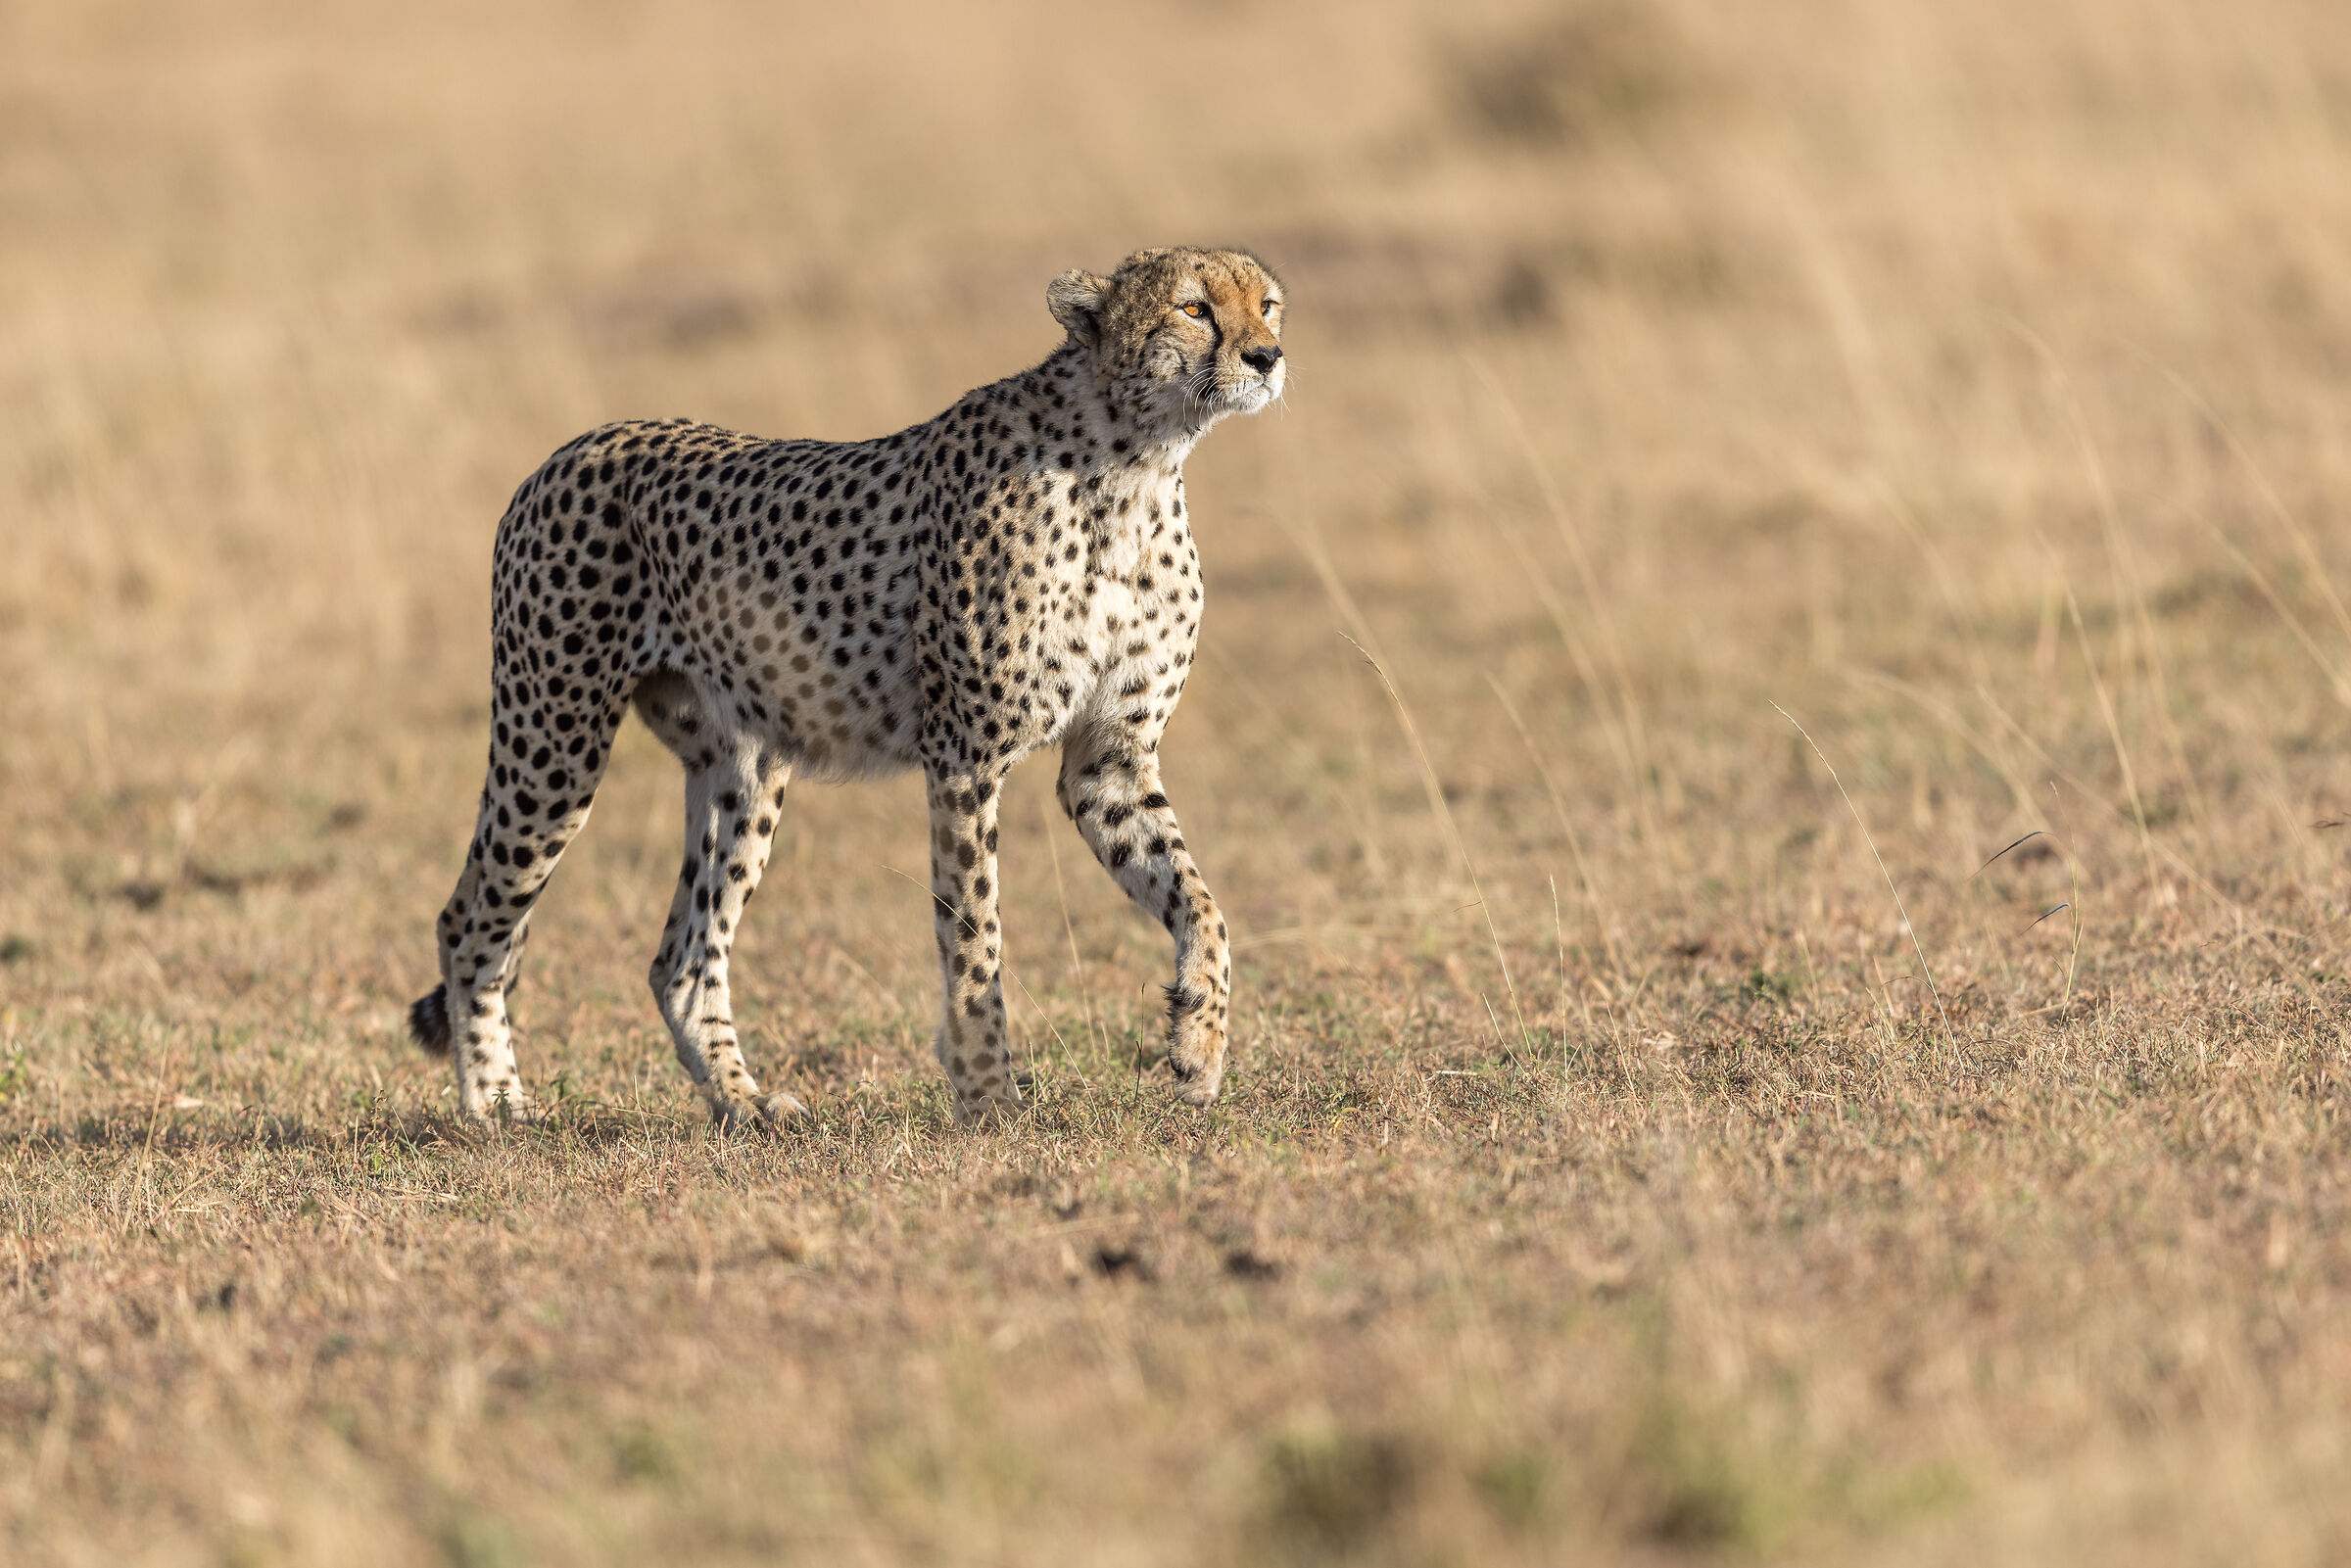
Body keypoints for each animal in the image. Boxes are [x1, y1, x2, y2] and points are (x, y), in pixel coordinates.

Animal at [406, 244, 1287, 1131]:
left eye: (1269, 305)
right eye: (1194, 309)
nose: (1267, 357)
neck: (1138, 463)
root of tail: (572, 448)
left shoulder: (1109, 762)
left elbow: (1200, 902)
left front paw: (1199, 1047)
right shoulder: (965, 758)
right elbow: (975, 934)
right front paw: (988, 1094)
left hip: (744, 770)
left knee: (681, 960)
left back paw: (743, 1102)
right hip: (555, 742)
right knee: (469, 921)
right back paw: (494, 1101)